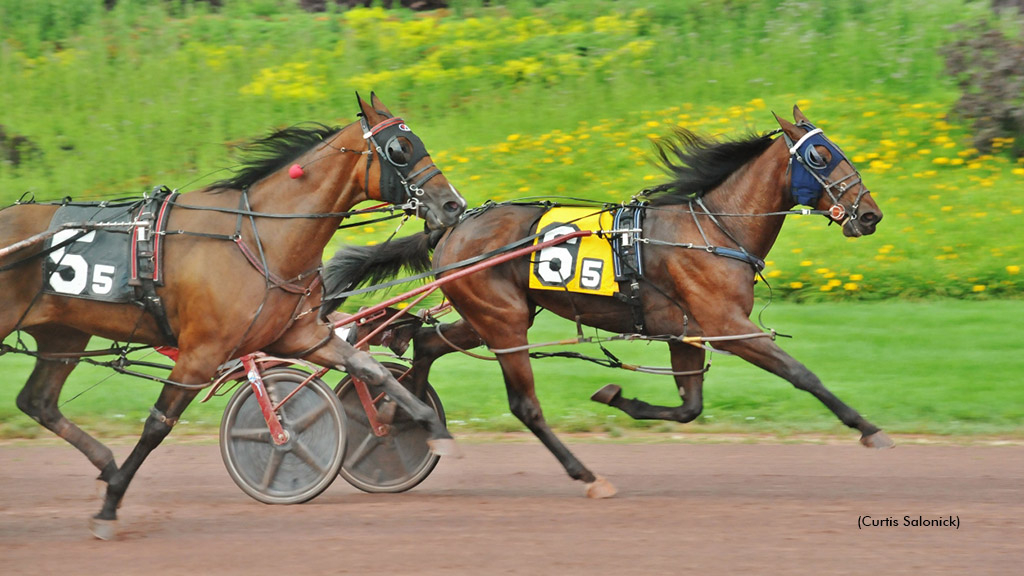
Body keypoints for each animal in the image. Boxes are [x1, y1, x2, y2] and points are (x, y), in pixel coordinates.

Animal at [0, 91, 464, 537]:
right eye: (400, 149)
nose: (453, 205)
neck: (262, 236)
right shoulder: (201, 353)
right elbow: (158, 425)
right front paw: (111, 503)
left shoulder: (301, 336)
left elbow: (372, 370)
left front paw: (431, 428)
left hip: (62, 333)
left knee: (37, 402)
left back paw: (104, 461)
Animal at [323, 107, 892, 498]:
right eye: (820, 157)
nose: (870, 215)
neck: (711, 232)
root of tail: (453, 224)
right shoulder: (726, 323)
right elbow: (802, 374)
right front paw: (869, 429)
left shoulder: (686, 331)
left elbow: (689, 407)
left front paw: (618, 396)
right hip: (501, 319)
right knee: (523, 404)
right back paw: (584, 474)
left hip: (493, 313)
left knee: (425, 341)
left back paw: (403, 414)